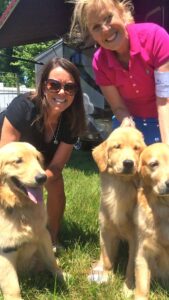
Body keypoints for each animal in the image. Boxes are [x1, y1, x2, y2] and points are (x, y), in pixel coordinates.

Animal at [0, 142, 62, 300]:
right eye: (18, 161)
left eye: (38, 158)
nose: (42, 178)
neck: (20, 207)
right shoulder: (5, 251)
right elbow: (13, 287)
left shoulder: (43, 235)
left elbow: (52, 261)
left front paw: (63, 276)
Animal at [89, 127, 146, 292]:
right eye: (117, 147)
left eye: (136, 148)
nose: (128, 163)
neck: (120, 188)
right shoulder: (106, 231)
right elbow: (108, 259)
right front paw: (107, 277)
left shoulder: (136, 239)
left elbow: (131, 266)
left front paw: (128, 288)